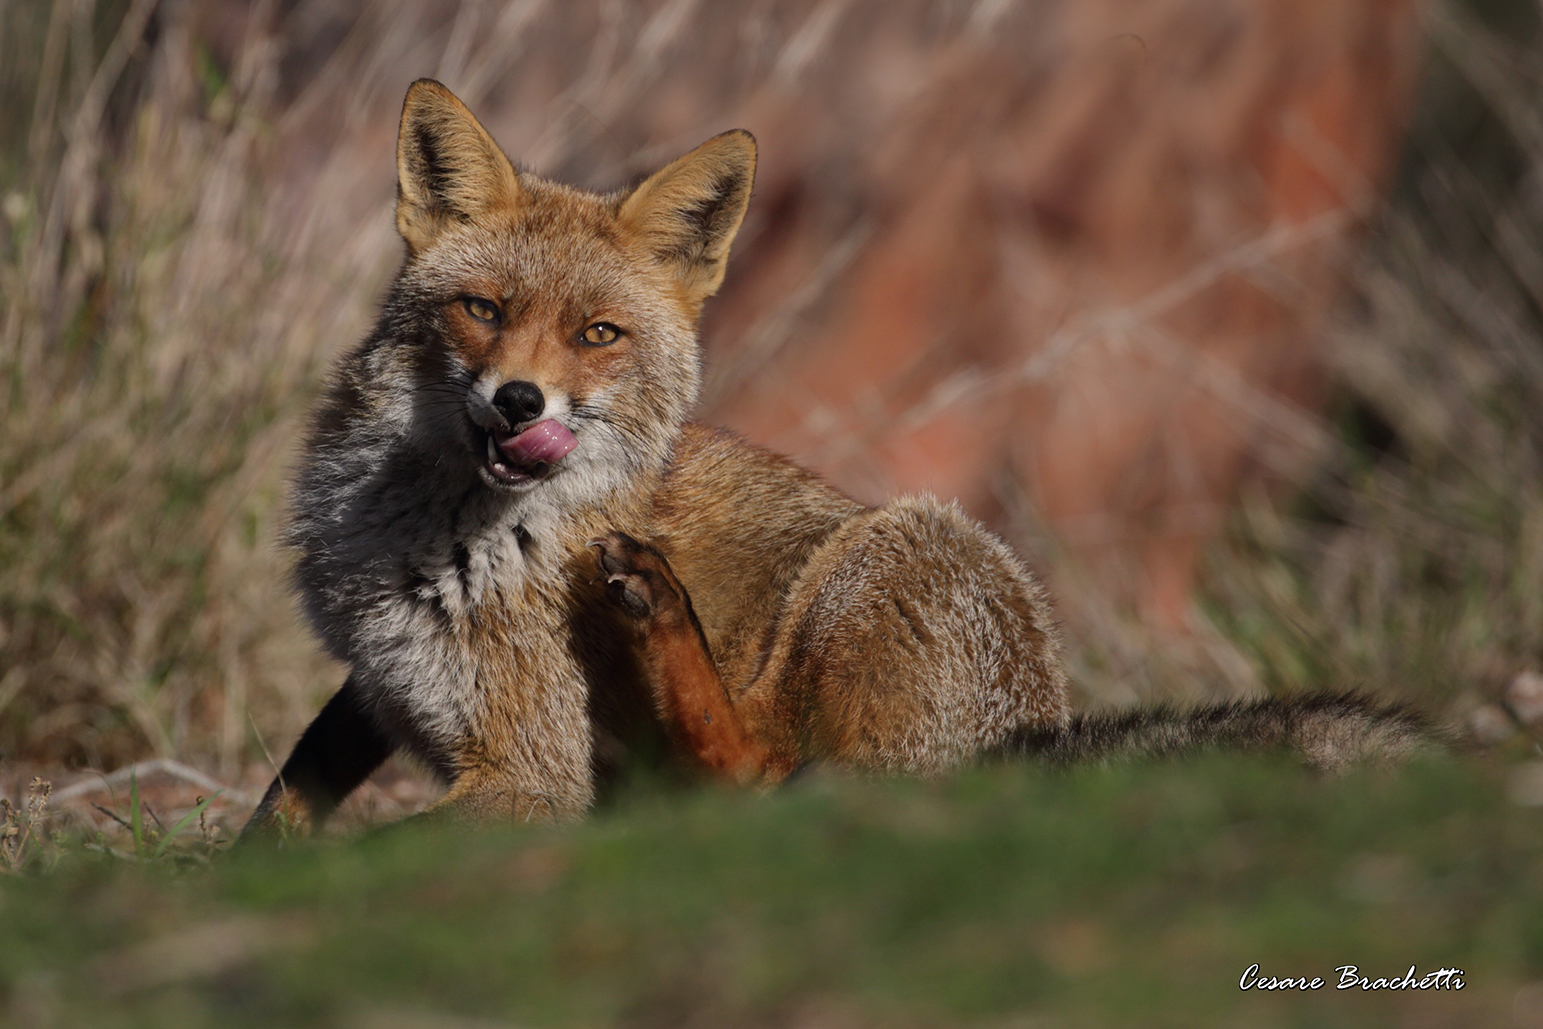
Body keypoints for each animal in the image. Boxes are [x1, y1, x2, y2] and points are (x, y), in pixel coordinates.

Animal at [242, 80, 1427, 838]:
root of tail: (1025, 737)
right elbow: (284, 801)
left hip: (891, 549)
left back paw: (658, 608)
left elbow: (381, 846)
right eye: (483, 311)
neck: (434, 544)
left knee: (752, 778)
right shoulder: (372, 686)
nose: (520, 401)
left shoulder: (535, 776)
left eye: (597, 335)